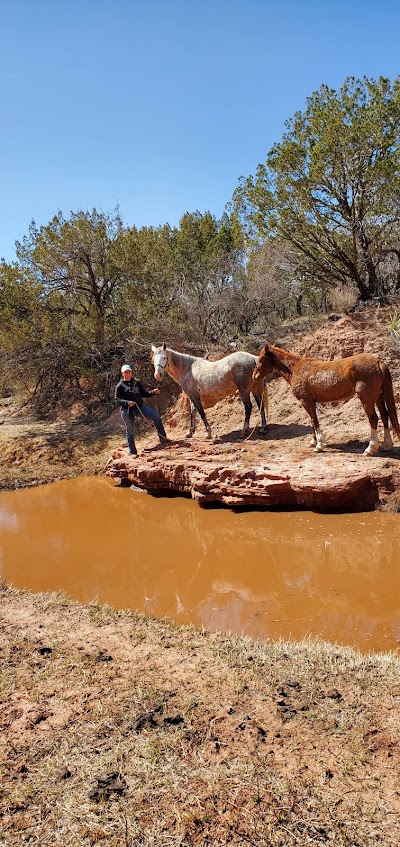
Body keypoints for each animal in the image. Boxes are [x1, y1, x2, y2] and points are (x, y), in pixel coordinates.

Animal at [255, 342, 398, 458]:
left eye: (261, 358)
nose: (255, 376)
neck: (296, 369)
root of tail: (378, 362)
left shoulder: (306, 401)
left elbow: (314, 421)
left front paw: (319, 445)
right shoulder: (310, 402)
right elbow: (312, 421)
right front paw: (313, 442)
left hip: (366, 399)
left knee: (374, 419)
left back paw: (370, 449)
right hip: (379, 396)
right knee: (385, 416)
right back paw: (386, 445)